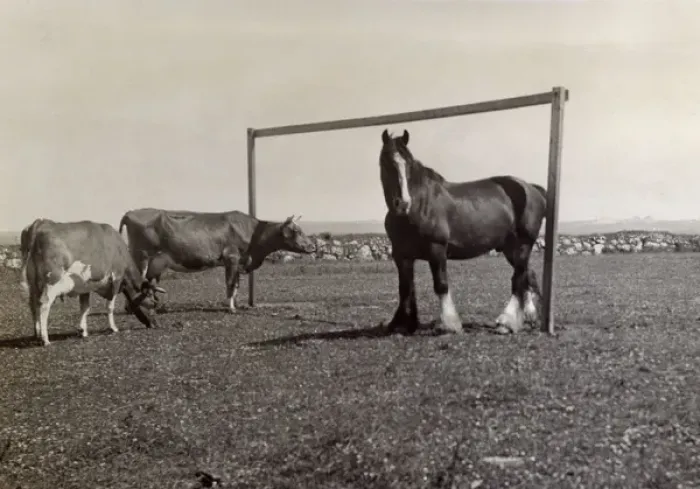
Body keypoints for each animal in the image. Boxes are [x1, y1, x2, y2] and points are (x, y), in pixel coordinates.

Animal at [20, 219, 165, 346]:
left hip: (33, 283)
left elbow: (85, 308)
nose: (157, 325)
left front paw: (83, 331)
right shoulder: (116, 277)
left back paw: (37, 334)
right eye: (153, 303)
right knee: (44, 304)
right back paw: (45, 339)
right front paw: (113, 328)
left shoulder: (85, 285)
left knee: (33, 304)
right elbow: (110, 306)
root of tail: (40, 223)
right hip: (52, 281)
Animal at [118, 208, 316, 312]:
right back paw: (133, 308)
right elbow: (230, 283)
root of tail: (131, 212)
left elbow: (236, 284)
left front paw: (235, 304)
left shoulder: (238, 261)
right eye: (296, 231)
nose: (313, 246)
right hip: (141, 256)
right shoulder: (231, 257)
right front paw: (231, 308)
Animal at [378, 128, 547, 335]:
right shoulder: (401, 256)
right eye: (386, 162)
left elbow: (441, 284)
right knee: (527, 275)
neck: (418, 206)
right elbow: (405, 288)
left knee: (519, 279)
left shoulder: (437, 249)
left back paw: (507, 322)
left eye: (408, 164)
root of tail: (532, 189)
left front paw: (450, 324)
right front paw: (403, 324)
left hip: (523, 244)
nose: (403, 203)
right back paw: (528, 317)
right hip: (511, 250)